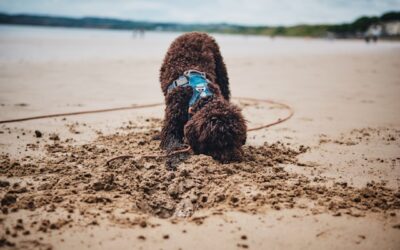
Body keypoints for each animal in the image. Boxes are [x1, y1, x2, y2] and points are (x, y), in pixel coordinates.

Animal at [159, 32, 247, 163]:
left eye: (238, 138)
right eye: (220, 142)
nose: (235, 159)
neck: (200, 96)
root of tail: (194, 32)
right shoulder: (171, 125)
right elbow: (172, 144)